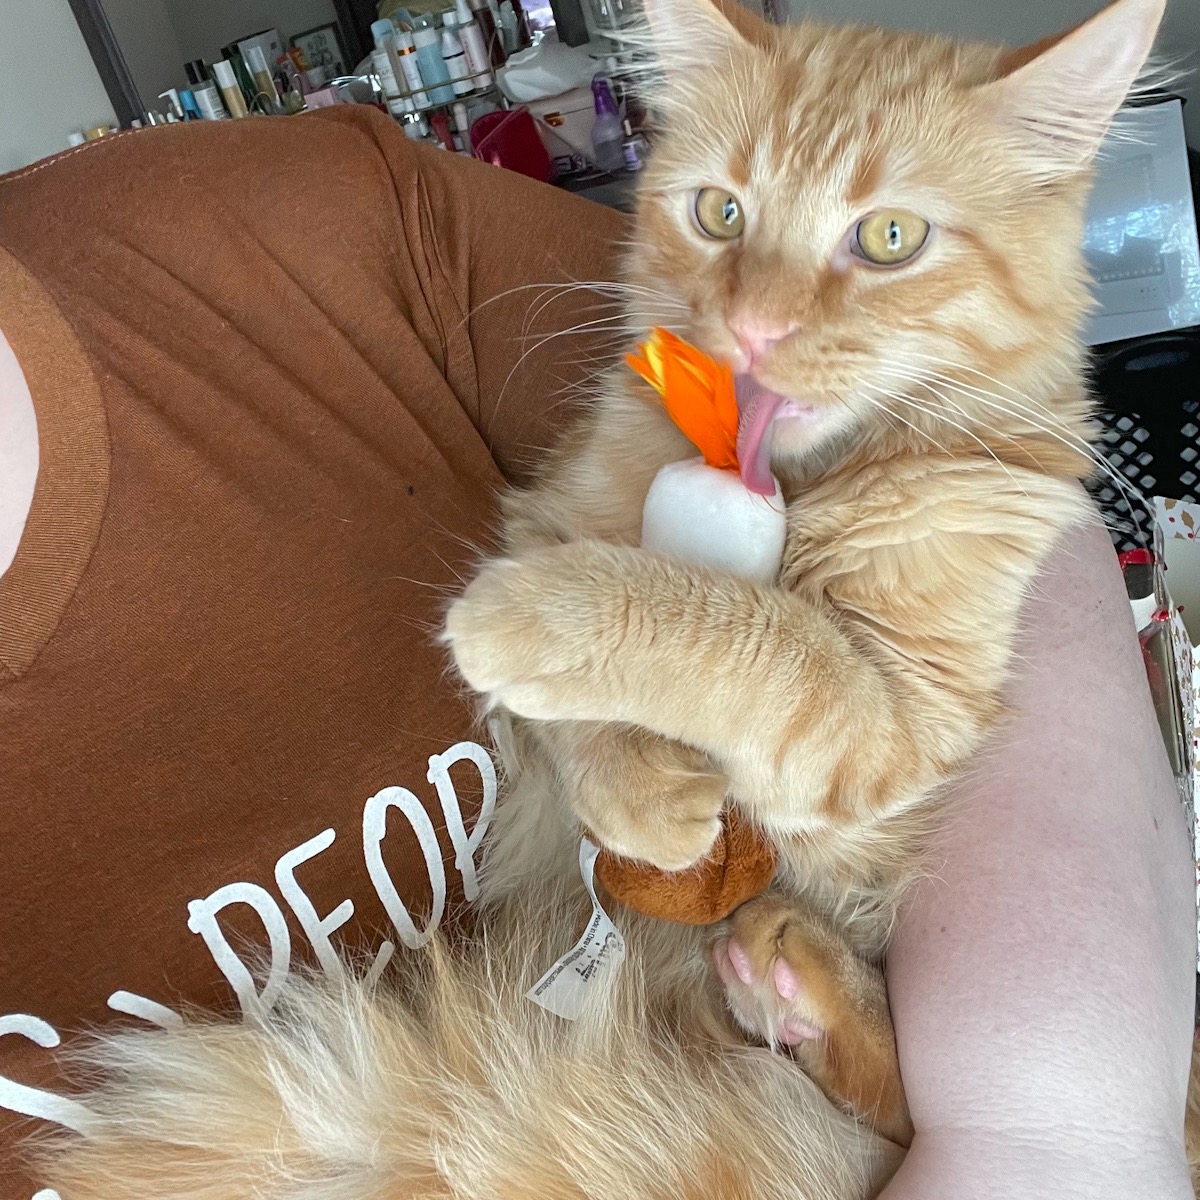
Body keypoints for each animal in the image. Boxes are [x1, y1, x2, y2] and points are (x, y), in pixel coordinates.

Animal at [35, 0, 1180, 1195]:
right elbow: (593, 702)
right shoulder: (547, 521)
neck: (796, 483)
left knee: (890, 1106)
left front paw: (538, 621)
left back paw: (800, 984)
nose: (756, 329)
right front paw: (640, 787)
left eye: (890, 239)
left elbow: (753, 637)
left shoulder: (901, 712)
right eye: (721, 213)